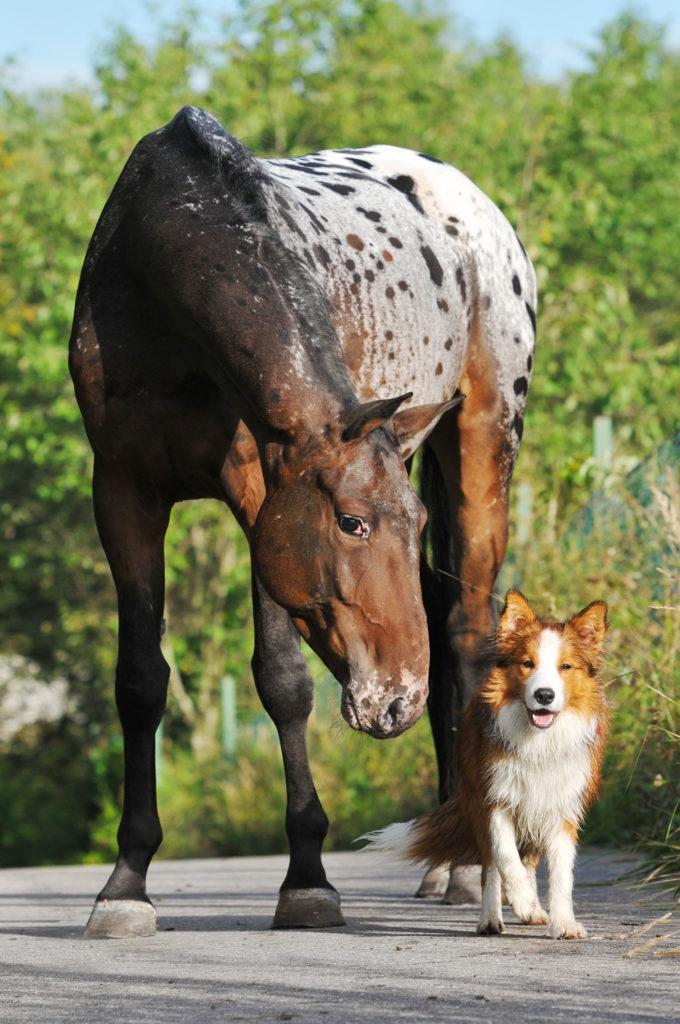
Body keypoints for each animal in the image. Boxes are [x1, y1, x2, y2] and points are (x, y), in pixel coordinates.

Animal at [69, 108, 536, 937]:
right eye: (352, 523)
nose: (395, 701)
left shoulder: (261, 489)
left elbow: (283, 682)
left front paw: (308, 880)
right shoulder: (122, 490)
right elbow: (140, 680)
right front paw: (125, 884)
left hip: (486, 446)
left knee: (464, 635)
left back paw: (467, 863)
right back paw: (445, 857)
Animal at [364, 593, 606, 937]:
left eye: (566, 667)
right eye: (527, 663)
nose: (544, 695)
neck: (538, 742)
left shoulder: (559, 808)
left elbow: (561, 876)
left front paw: (563, 923)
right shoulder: (493, 799)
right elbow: (504, 858)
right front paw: (522, 900)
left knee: (528, 861)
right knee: (492, 865)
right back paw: (492, 917)